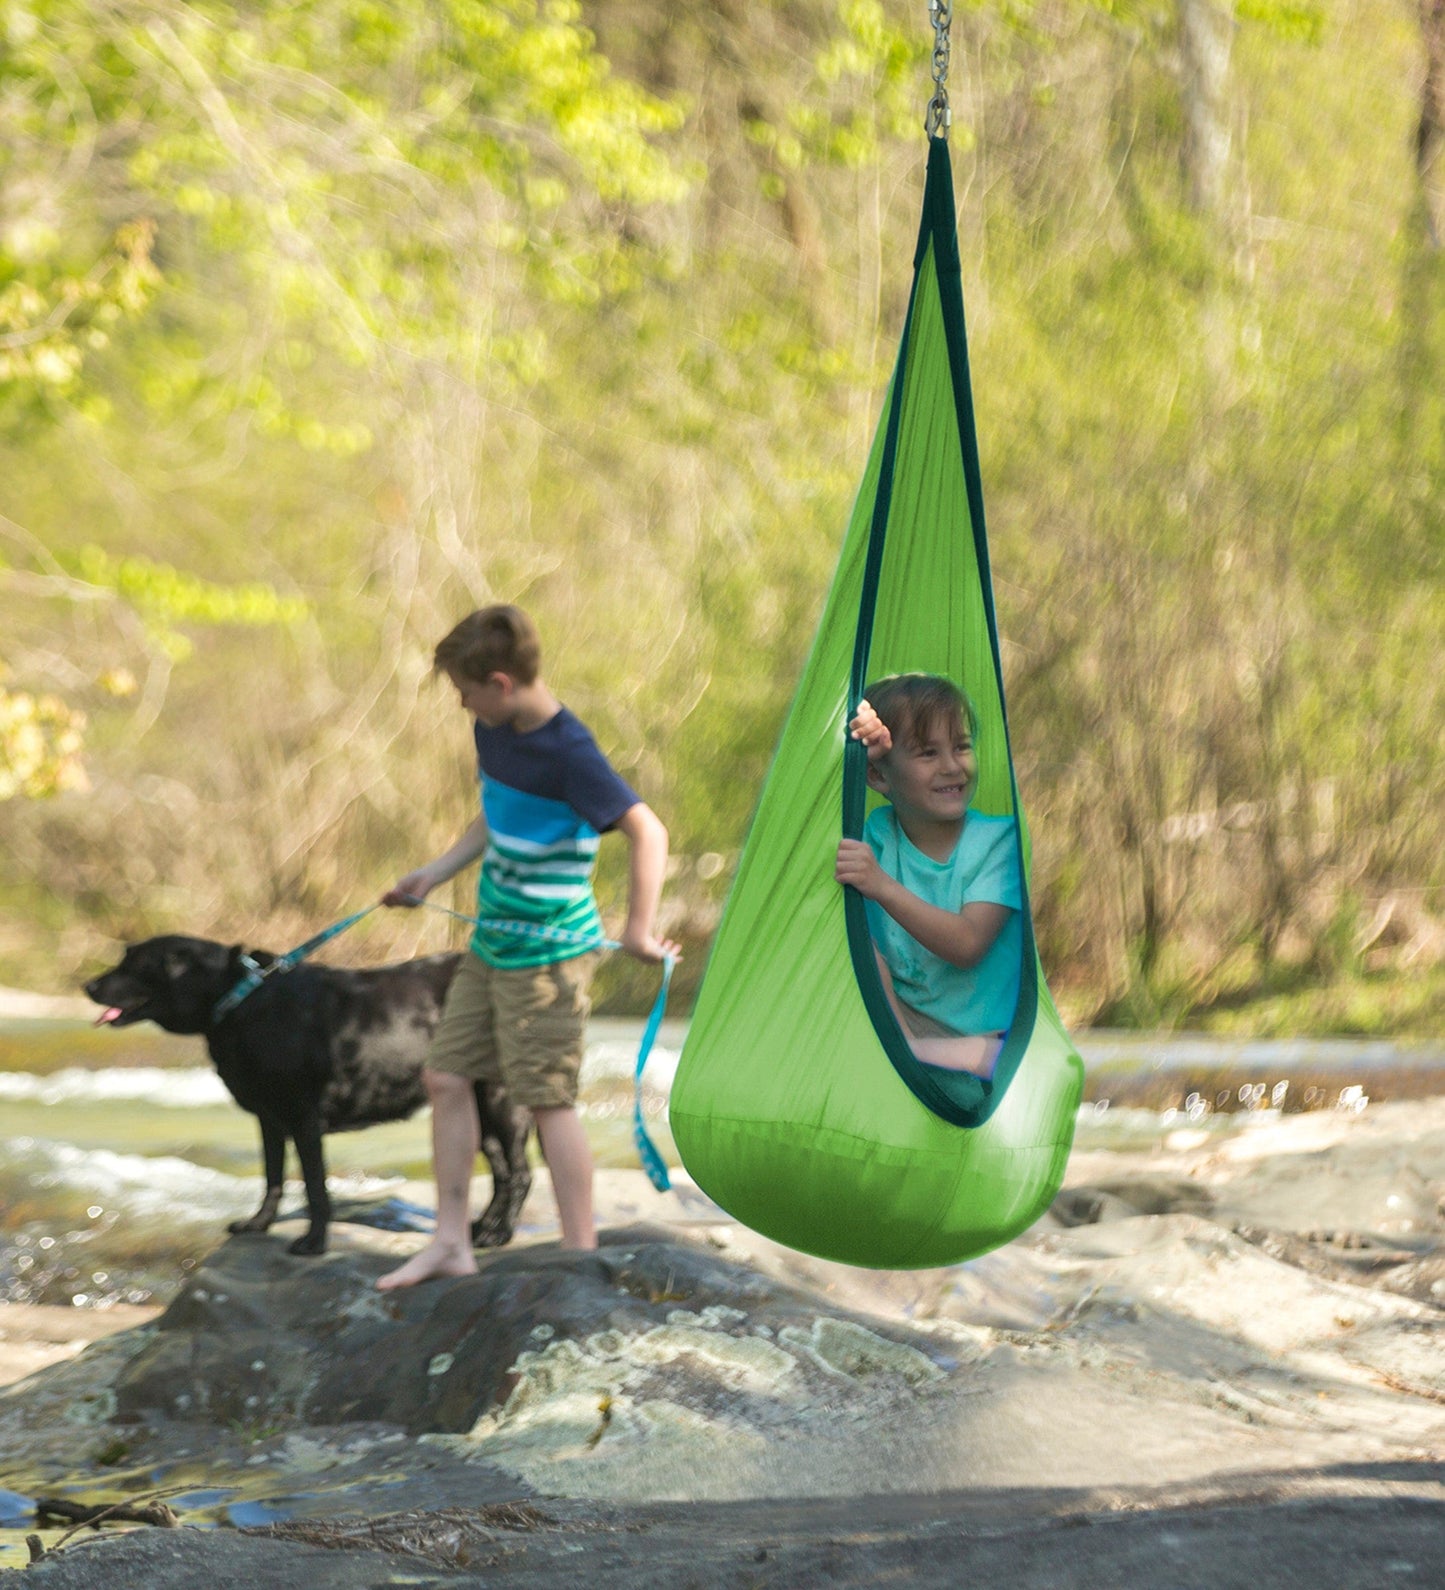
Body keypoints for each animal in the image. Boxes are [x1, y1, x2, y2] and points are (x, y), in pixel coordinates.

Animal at [81, 928, 530, 1252]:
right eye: (124, 958)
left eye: (135, 964)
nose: (87, 986)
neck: (241, 1001)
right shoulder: (268, 1119)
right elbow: (273, 1177)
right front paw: (258, 1224)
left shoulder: (303, 1118)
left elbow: (315, 1187)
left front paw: (313, 1242)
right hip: (473, 1103)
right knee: (502, 1170)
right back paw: (482, 1226)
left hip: (500, 1098)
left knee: (521, 1172)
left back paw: (500, 1234)